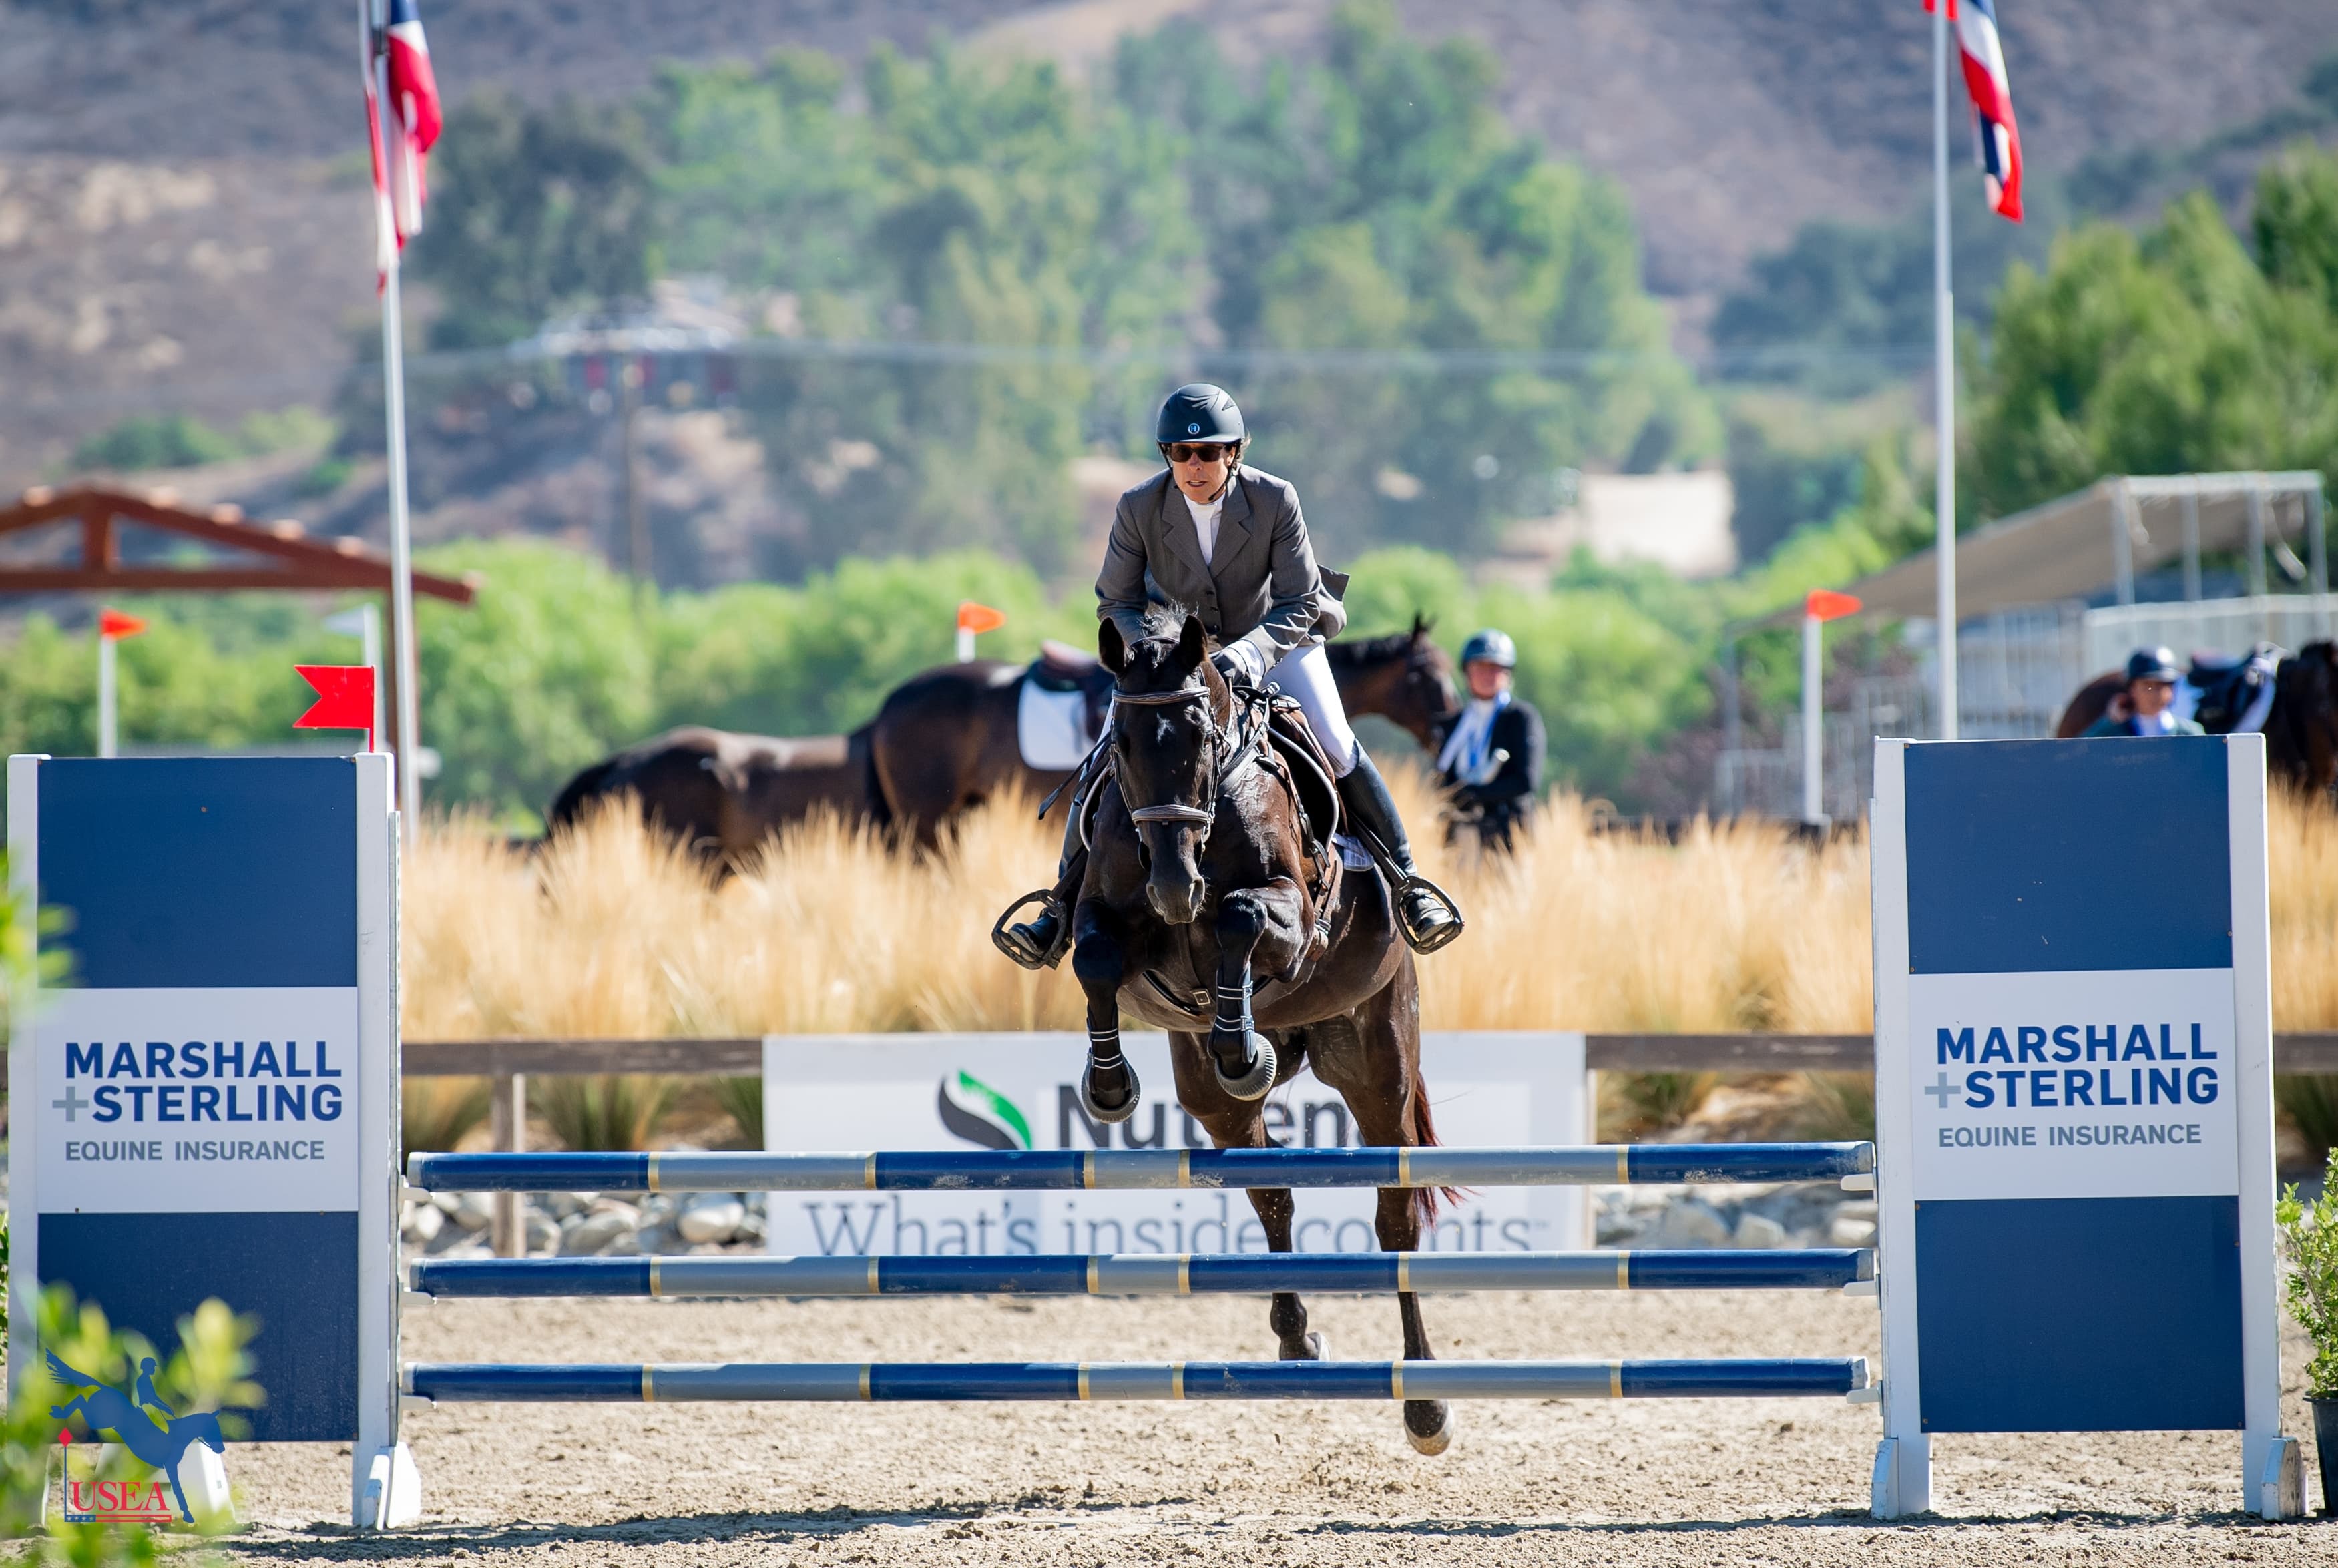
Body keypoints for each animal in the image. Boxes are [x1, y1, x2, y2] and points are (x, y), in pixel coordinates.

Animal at [48, 1351, 224, 1524]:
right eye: (213, 1429)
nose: (220, 1449)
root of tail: (105, 1387)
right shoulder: (170, 1466)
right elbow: (178, 1490)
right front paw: (187, 1515)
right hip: (99, 1420)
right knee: (80, 1401)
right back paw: (59, 1412)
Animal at [1066, 605, 1454, 1456]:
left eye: (1202, 734)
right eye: (1120, 744)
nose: (1174, 886)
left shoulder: (1290, 912)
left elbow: (1242, 918)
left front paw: (1242, 1042)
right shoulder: (1108, 917)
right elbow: (1094, 954)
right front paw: (1109, 1084)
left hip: (1377, 1063)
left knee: (1395, 1223)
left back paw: (1425, 1404)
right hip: (1209, 1104)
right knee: (1270, 1192)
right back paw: (1295, 1338)